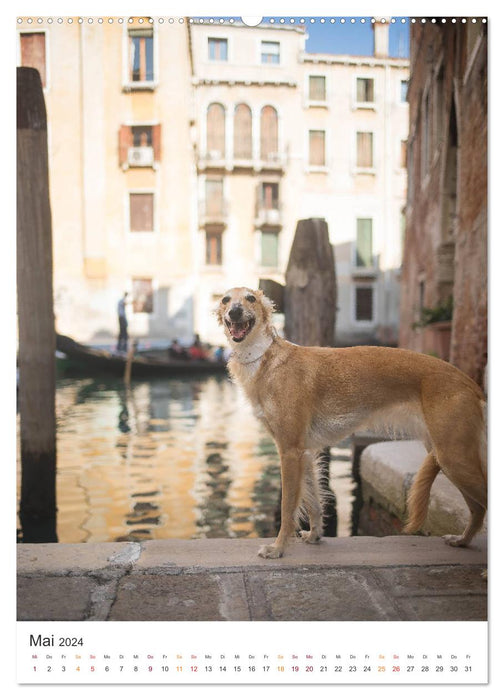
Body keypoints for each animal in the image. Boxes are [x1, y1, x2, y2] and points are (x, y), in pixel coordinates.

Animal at [215, 284, 486, 556]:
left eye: (250, 298)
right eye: (225, 299)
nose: (235, 312)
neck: (266, 359)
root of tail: (469, 383)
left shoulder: (289, 451)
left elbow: (288, 507)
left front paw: (278, 548)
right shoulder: (304, 453)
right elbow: (314, 503)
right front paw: (314, 535)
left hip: (454, 458)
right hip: (447, 457)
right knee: (478, 508)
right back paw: (462, 540)